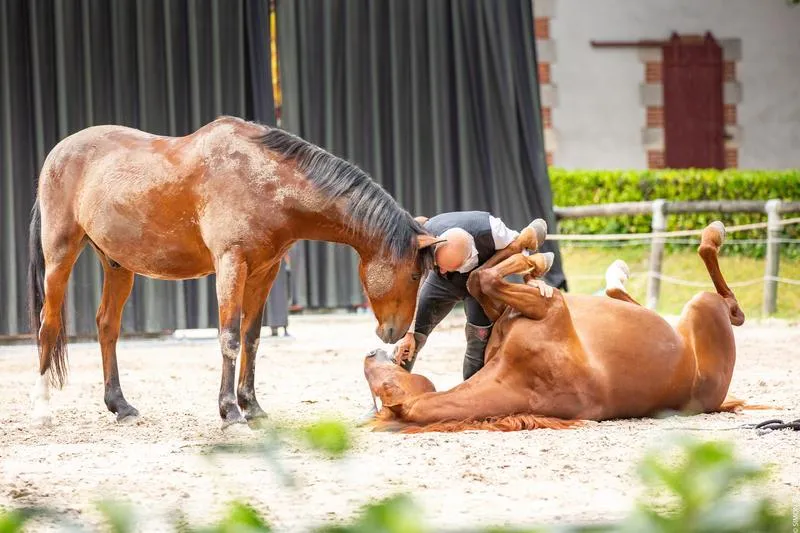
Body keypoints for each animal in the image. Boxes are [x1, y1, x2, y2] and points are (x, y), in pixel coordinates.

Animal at [28, 115, 438, 428]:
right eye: (413, 275)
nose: (394, 333)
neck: (264, 181)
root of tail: (56, 154)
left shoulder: (264, 273)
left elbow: (252, 338)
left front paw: (252, 407)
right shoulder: (230, 264)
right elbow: (229, 337)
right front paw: (230, 413)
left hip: (117, 266)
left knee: (107, 326)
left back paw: (120, 406)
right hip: (60, 255)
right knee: (48, 326)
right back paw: (43, 410)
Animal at [364, 220, 752, 432]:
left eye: (382, 378)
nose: (370, 354)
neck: (519, 377)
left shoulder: (514, 309)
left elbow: (479, 278)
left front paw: (532, 253)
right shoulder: (548, 307)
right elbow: (482, 277)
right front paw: (533, 256)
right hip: (704, 306)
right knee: (731, 304)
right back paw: (711, 235)